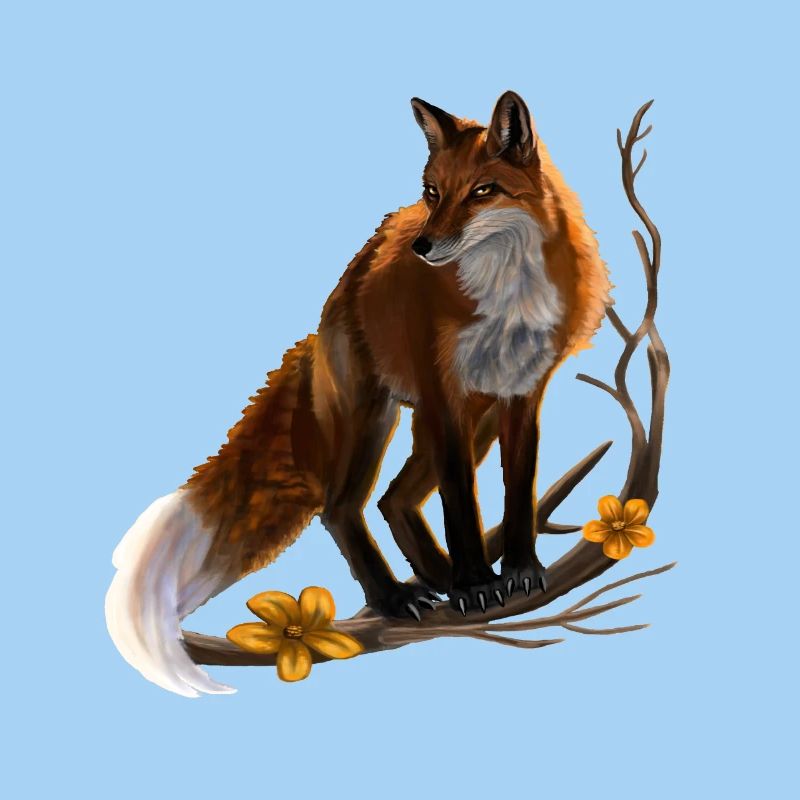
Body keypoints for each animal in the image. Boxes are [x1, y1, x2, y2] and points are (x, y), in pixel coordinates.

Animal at [105, 91, 610, 697]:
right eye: (433, 192)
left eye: (483, 191)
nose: (422, 246)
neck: (506, 295)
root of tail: (338, 297)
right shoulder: (444, 396)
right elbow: (461, 505)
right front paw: (472, 585)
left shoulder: (521, 395)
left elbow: (517, 491)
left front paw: (518, 572)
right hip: (376, 418)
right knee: (341, 507)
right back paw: (395, 596)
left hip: (470, 417)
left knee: (393, 499)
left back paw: (434, 577)